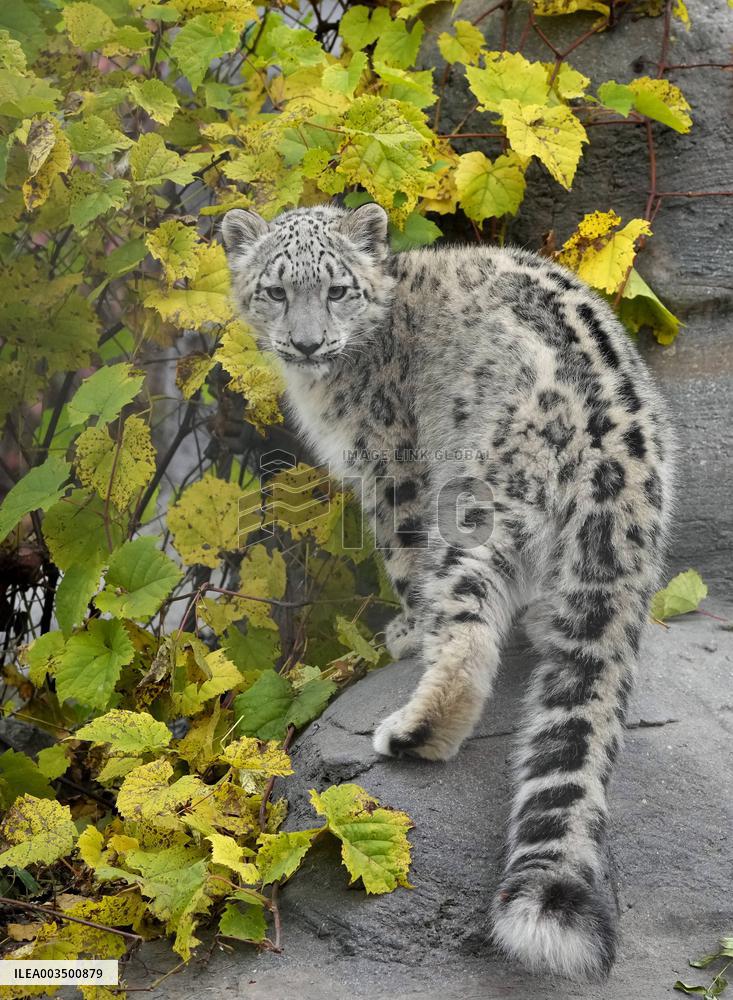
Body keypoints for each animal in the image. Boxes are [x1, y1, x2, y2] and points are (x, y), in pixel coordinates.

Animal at [221, 202, 673, 982]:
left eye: (337, 289)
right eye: (274, 290)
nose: (307, 343)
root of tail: (616, 451)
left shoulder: (389, 462)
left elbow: (402, 552)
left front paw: (406, 626)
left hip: (479, 508)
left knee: (468, 634)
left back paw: (417, 728)